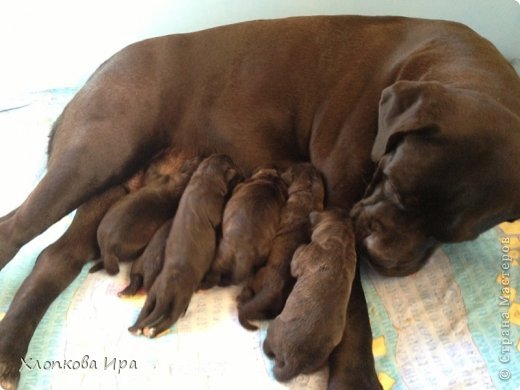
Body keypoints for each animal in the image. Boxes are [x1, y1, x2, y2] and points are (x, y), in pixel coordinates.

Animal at [132, 154, 242, 336]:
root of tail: (163, 293)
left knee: (144, 312)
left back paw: (136, 327)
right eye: (230, 162)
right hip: (180, 299)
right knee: (169, 319)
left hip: (152, 296)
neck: (205, 177)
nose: (232, 159)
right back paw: (153, 330)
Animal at [237, 161, 324, 330]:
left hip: (258, 276)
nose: (306, 162)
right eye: (311, 167)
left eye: (291, 169)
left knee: (248, 289)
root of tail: (271, 292)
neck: (308, 195)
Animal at [264, 209, 358, 382]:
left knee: (267, 348)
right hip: (318, 362)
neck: (341, 241)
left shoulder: (298, 263)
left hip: (273, 327)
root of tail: (295, 360)